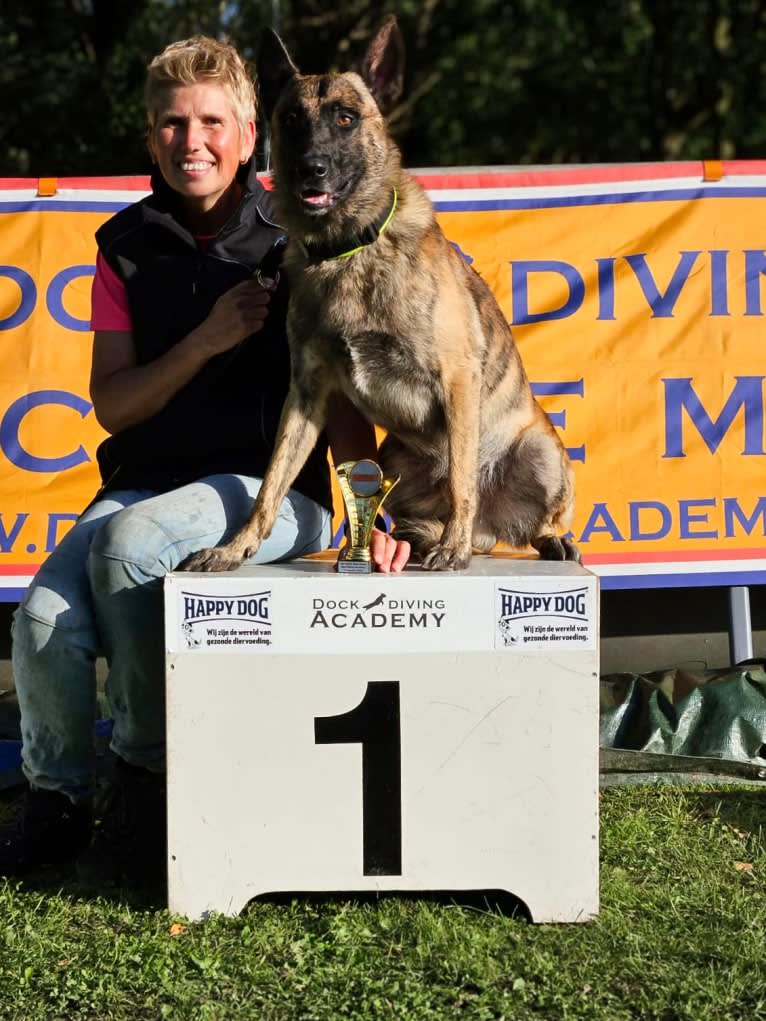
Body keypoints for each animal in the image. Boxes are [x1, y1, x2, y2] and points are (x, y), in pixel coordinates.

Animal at [184, 15, 580, 571]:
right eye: (291, 120)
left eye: (346, 118)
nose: (311, 168)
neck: (350, 248)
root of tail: (489, 529)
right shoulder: (306, 393)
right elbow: (269, 486)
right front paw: (234, 548)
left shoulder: (457, 379)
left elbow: (461, 479)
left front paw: (453, 551)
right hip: (393, 456)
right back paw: (426, 540)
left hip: (540, 453)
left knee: (520, 513)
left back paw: (520, 540)